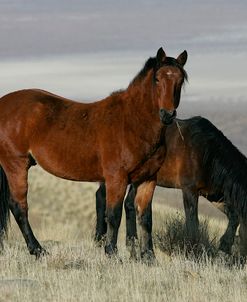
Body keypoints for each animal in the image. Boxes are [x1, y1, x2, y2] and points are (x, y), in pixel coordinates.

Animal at [0, 47, 187, 260]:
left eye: (180, 79)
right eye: (157, 79)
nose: (167, 114)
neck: (132, 122)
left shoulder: (148, 179)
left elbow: (145, 217)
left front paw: (148, 257)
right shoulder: (116, 178)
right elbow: (113, 215)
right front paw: (111, 253)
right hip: (16, 165)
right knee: (19, 206)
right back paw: (38, 250)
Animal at [94, 117, 247, 258]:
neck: (206, 153)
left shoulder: (214, 196)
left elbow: (234, 217)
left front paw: (224, 248)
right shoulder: (189, 190)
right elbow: (193, 222)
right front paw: (194, 252)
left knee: (128, 204)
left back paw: (132, 246)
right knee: (102, 197)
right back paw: (100, 240)